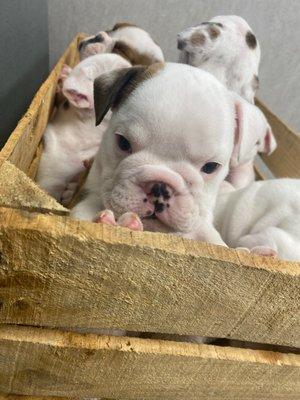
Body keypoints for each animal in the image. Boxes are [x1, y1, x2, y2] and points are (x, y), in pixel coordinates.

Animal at [69, 63, 258, 244]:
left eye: (211, 167)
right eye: (123, 143)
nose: (159, 187)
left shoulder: (204, 228)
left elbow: (214, 241)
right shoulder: (86, 198)